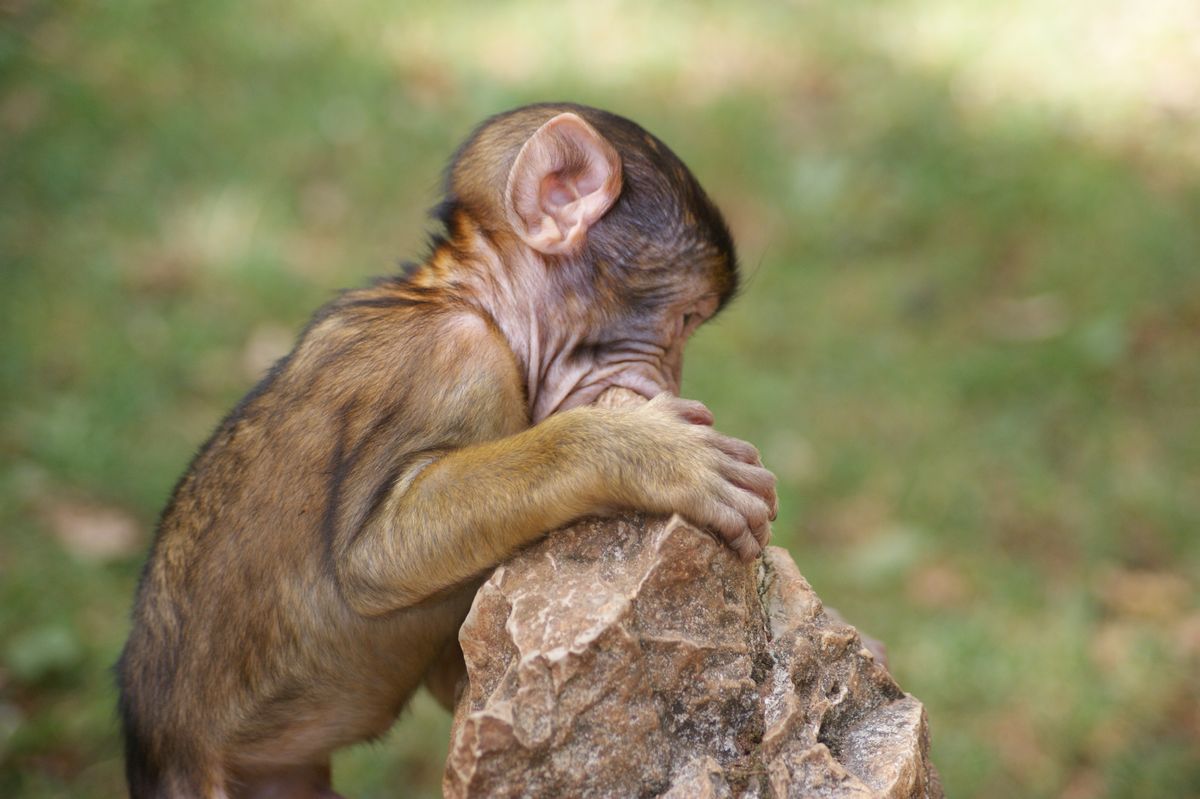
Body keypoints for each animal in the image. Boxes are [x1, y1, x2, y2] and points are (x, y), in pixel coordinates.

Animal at [117, 102, 778, 798]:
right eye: (685, 320)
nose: (674, 380)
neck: (468, 296)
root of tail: (160, 745)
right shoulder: (457, 362)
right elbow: (371, 561)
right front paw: (647, 452)